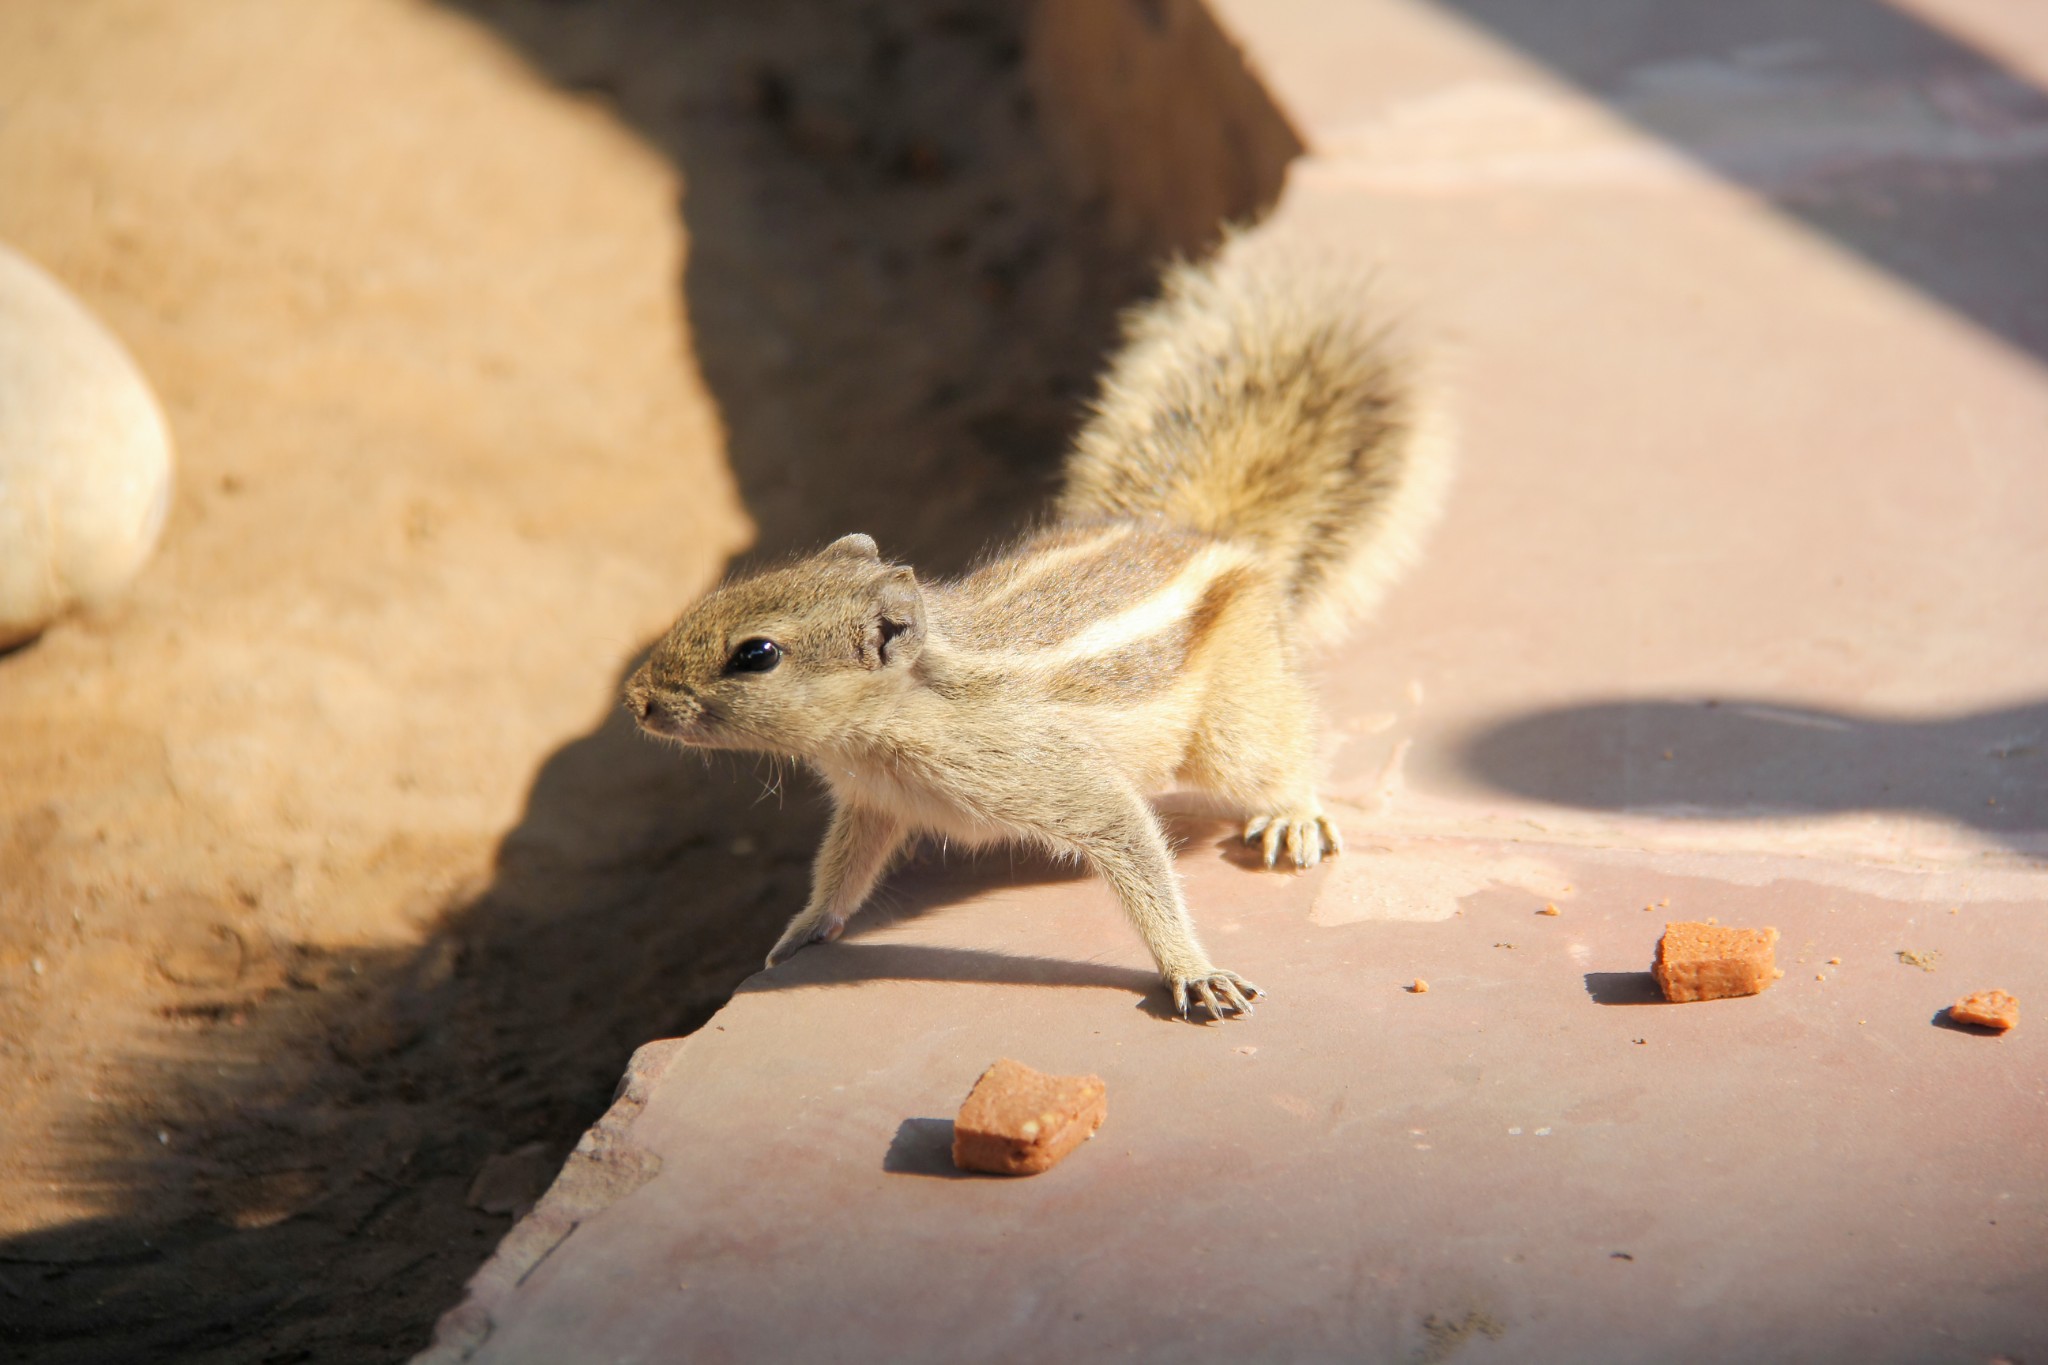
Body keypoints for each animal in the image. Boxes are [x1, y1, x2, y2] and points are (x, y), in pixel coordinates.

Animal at [622, 235, 1458, 1019]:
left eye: (755, 654)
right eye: (718, 597)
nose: (636, 699)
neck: (892, 722)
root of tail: (1204, 533)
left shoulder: (1055, 776)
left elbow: (1133, 846)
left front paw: (1191, 968)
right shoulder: (872, 804)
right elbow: (843, 867)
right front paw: (803, 928)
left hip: (1234, 720)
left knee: (1278, 752)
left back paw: (1292, 816)